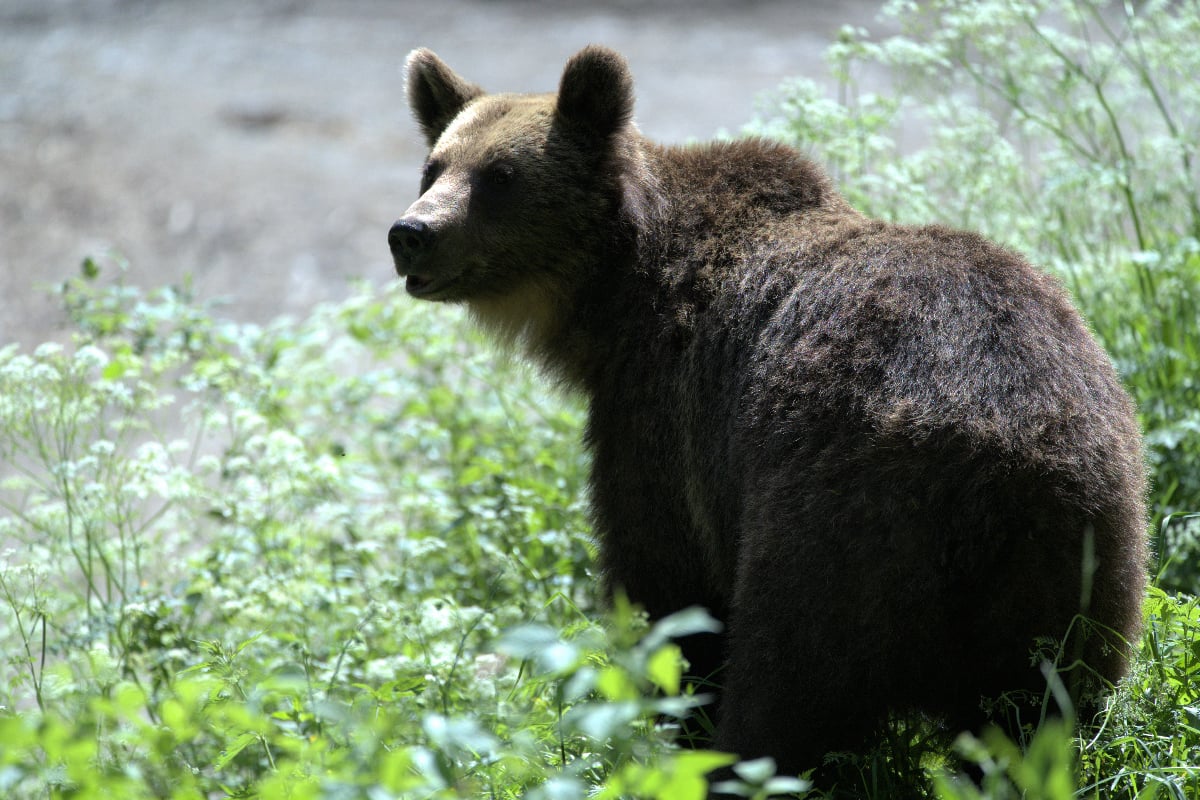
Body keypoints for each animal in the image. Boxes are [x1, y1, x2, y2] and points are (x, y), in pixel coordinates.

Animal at [388, 45, 1147, 782]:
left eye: (501, 174)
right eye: (434, 165)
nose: (411, 231)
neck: (618, 293)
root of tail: (992, 452)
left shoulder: (664, 423)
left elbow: (669, 596)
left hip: (832, 520)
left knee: (786, 683)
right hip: (1076, 557)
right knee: (1036, 715)